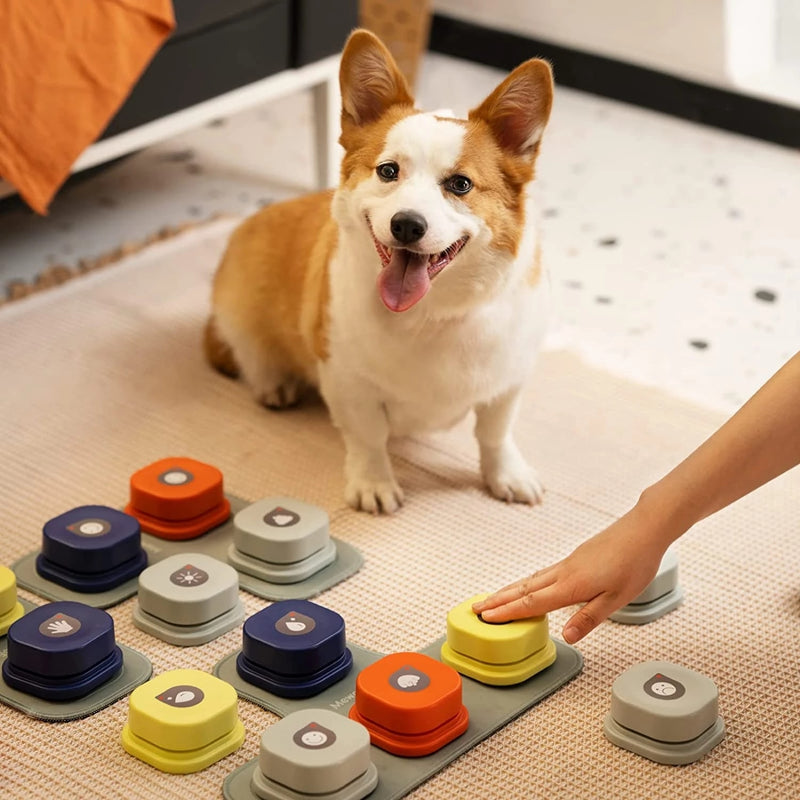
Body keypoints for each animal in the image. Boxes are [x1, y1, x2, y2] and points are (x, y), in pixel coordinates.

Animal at [206, 29, 552, 512]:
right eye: (388, 171)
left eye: (460, 184)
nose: (407, 224)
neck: (430, 314)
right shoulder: (347, 382)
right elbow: (368, 438)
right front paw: (373, 484)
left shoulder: (508, 382)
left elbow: (495, 434)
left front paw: (507, 475)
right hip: (239, 310)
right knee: (250, 353)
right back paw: (274, 383)